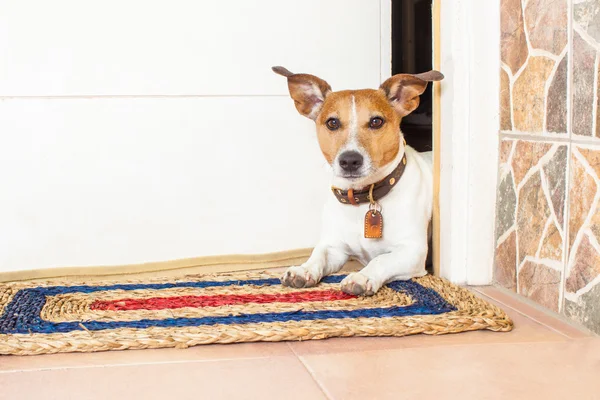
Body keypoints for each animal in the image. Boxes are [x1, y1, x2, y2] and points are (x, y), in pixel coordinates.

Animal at [274, 65, 442, 296]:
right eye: (332, 123)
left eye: (376, 121)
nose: (350, 160)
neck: (363, 199)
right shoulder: (334, 247)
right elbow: (318, 254)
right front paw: (303, 269)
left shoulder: (412, 251)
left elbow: (381, 260)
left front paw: (362, 276)